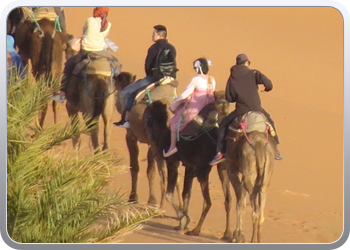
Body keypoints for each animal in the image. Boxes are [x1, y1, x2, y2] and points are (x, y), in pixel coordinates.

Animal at [113, 72, 182, 209]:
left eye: (116, 82)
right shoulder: (151, 144)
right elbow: (151, 170)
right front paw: (152, 200)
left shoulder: (130, 136)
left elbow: (134, 166)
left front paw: (133, 198)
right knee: (175, 174)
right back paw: (181, 208)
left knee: (165, 175)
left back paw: (161, 208)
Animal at [141, 91, 234, 239]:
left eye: (147, 111)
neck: (163, 135)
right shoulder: (189, 166)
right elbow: (186, 193)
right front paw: (181, 224)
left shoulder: (173, 161)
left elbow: (169, 194)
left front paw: (184, 220)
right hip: (222, 167)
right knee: (228, 199)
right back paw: (227, 233)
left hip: (203, 170)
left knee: (208, 201)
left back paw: (196, 230)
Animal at [223, 112, 278, 242]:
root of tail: (259, 146)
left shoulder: (231, 170)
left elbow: (240, 201)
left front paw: (237, 236)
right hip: (265, 175)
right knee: (260, 212)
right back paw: (257, 240)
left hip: (248, 173)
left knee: (254, 210)